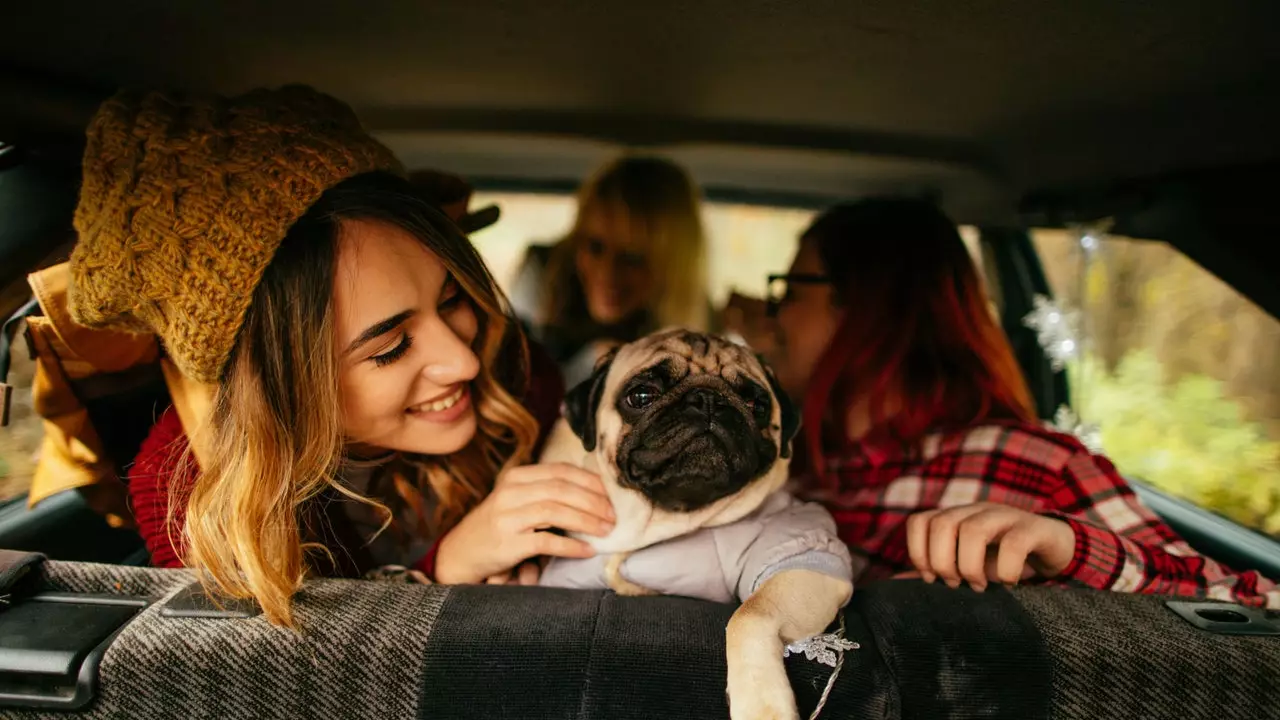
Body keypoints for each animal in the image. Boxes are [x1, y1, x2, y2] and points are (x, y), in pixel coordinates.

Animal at [535, 327, 855, 712]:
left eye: (757, 405)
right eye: (641, 396)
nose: (708, 400)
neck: (667, 514)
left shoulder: (804, 563)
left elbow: (748, 614)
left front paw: (762, 703)